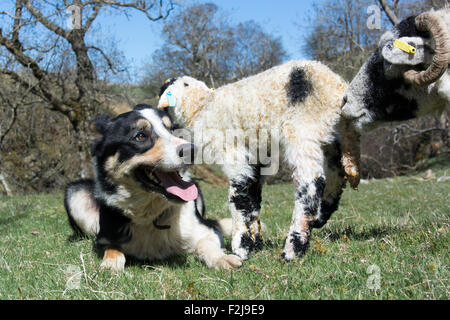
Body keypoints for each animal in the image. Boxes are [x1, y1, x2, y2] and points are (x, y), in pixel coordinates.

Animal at [63, 105, 241, 272]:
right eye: (140, 136)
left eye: (173, 130)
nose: (192, 150)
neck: (150, 214)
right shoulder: (105, 237)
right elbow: (113, 249)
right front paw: (110, 264)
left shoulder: (207, 231)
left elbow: (207, 243)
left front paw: (222, 258)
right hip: (75, 192)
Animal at [156, 59, 354, 260]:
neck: (201, 106)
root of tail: (335, 84)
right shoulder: (257, 158)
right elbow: (252, 199)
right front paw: (255, 242)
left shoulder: (232, 153)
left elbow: (238, 198)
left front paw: (241, 246)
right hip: (329, 135)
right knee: (337, 172)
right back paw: (321, 215)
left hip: (302, 130)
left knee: (311, 183)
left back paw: (293, 247)